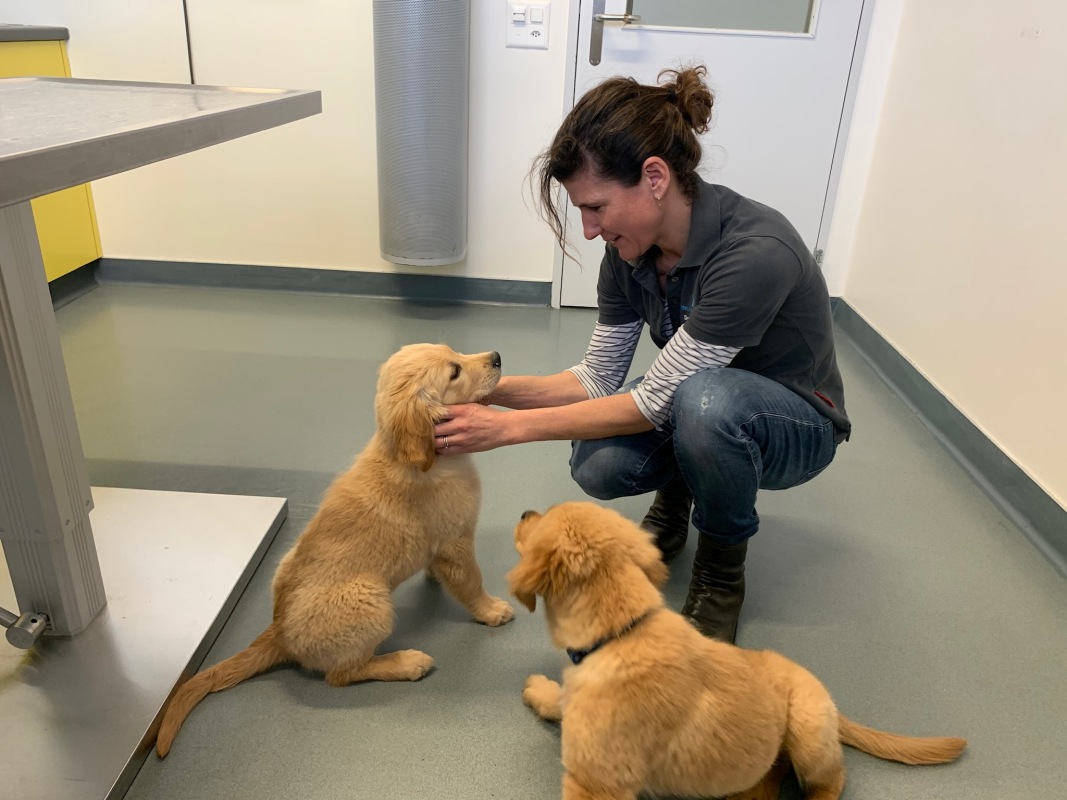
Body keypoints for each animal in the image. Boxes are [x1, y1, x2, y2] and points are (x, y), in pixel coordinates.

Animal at [155, 343, 515, 757]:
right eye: (454, 371)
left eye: (454, 351)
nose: (497, 356)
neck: (410, 454)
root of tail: (278, 632)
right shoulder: (456, 543)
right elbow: (471, 583)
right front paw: (491, 610)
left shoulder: (442, 546)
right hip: (372, 601)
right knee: (342, 675)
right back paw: (405, 662)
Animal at [507, 502, 966, 800]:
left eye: (543, 518)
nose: (524, 513)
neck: (623, 631)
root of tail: (829, 701)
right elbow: (563, 700)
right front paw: (543, 691)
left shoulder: (596, 784)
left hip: (807, 728)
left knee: (831, 780)